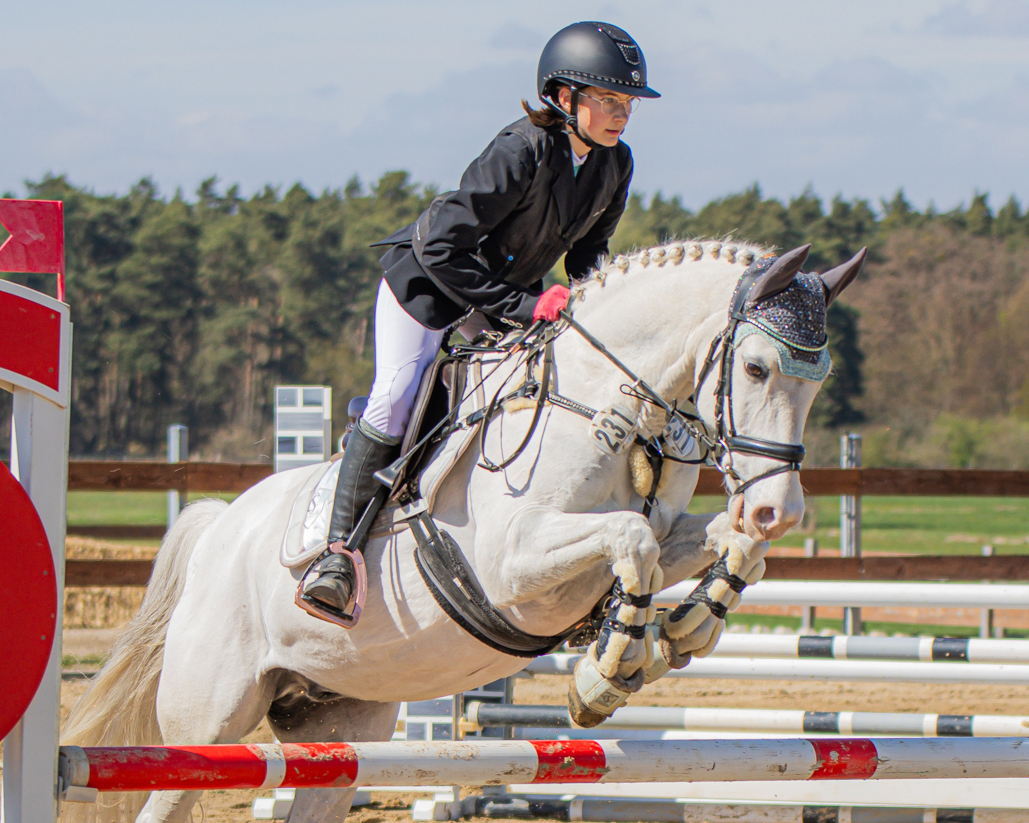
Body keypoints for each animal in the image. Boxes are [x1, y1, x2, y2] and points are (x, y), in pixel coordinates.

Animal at [62, 240, 863, 823]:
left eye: (819, 378)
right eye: (755, 367)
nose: (781, 509)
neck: (600, 404)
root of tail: (216, 529)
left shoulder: (652, 536)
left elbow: (729, 547)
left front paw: (684, 628)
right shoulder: (514, 567)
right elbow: (627, 544)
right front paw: (603, 673)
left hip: (340, 727)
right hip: (208, 722)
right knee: (171, 787)